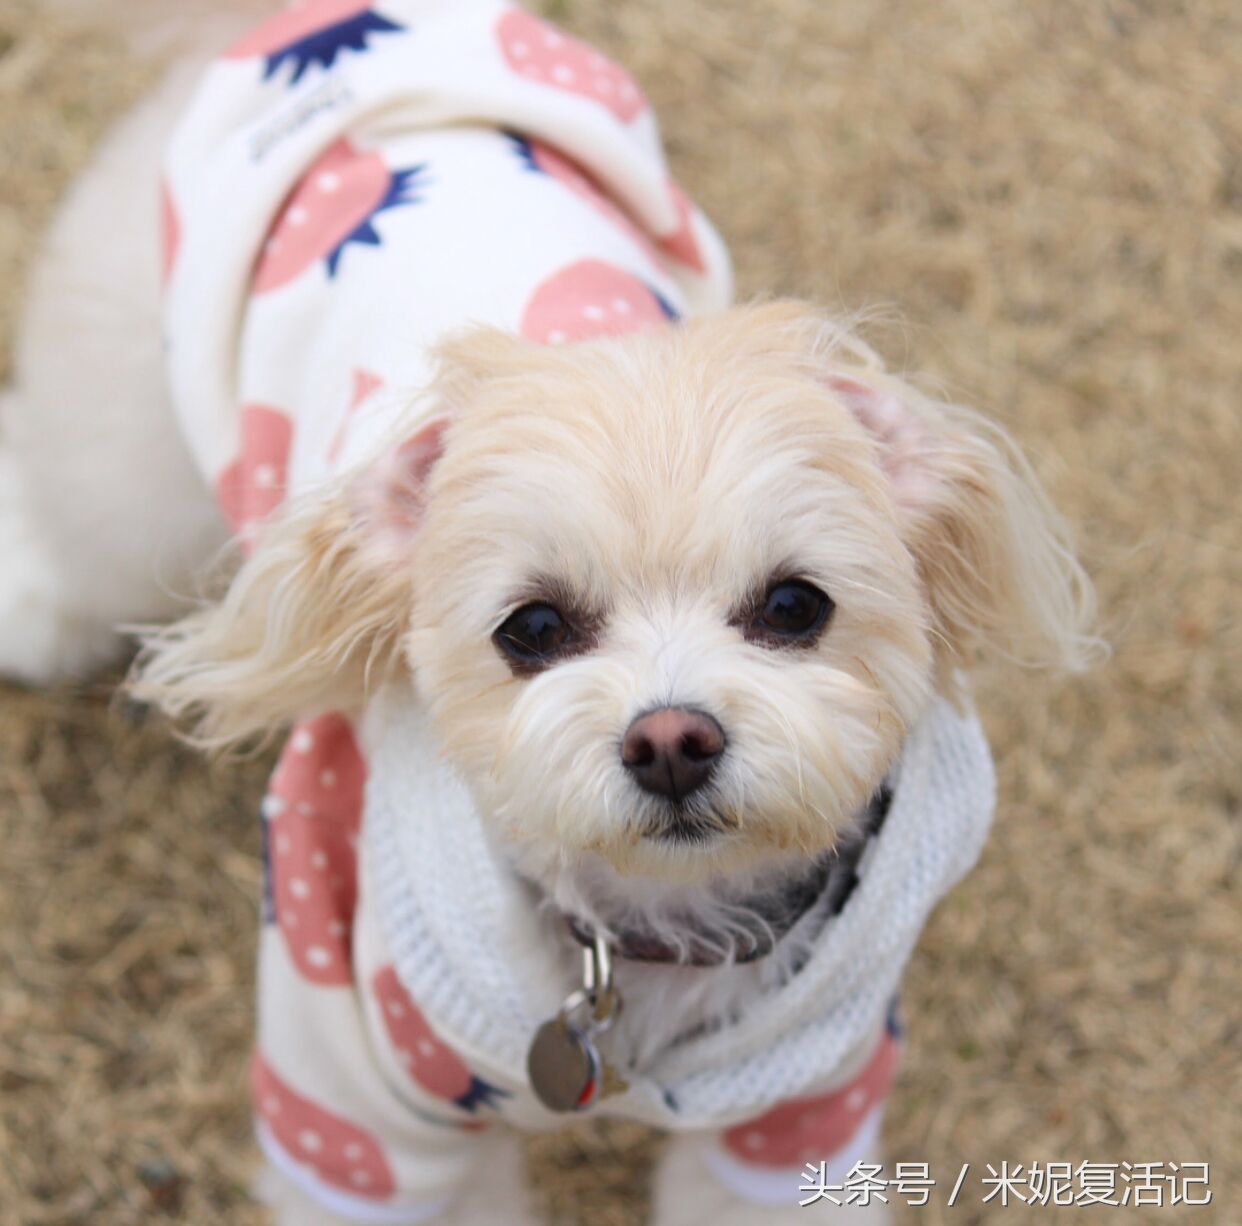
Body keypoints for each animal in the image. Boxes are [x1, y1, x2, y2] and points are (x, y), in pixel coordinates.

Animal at [0, 2, 1092, 1226]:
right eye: (531, 629)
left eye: (794, 605)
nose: (672, 739)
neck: (640, 951)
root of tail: (312, 23)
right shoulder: (362, 1092)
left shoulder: (795, 1106)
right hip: (127, 427)